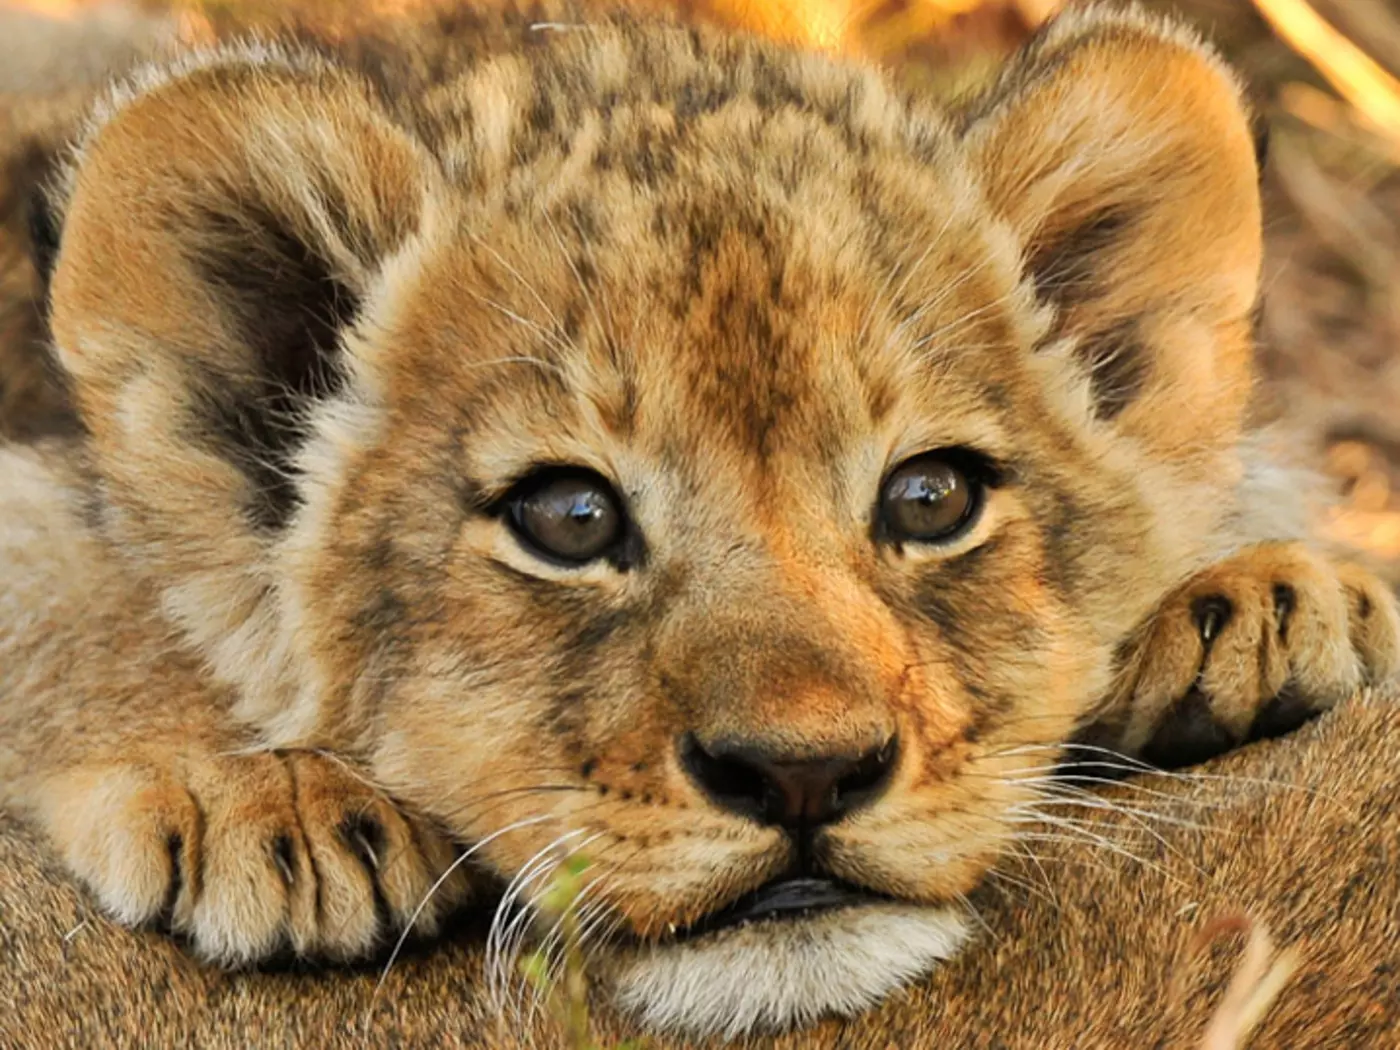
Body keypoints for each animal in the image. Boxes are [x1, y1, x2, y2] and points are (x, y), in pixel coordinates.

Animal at [0, 0, 1396, 1041]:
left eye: (930, 497)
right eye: (567, 517)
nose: (802, 772)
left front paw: (1276, 598)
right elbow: (81, 600)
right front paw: (263, 797)